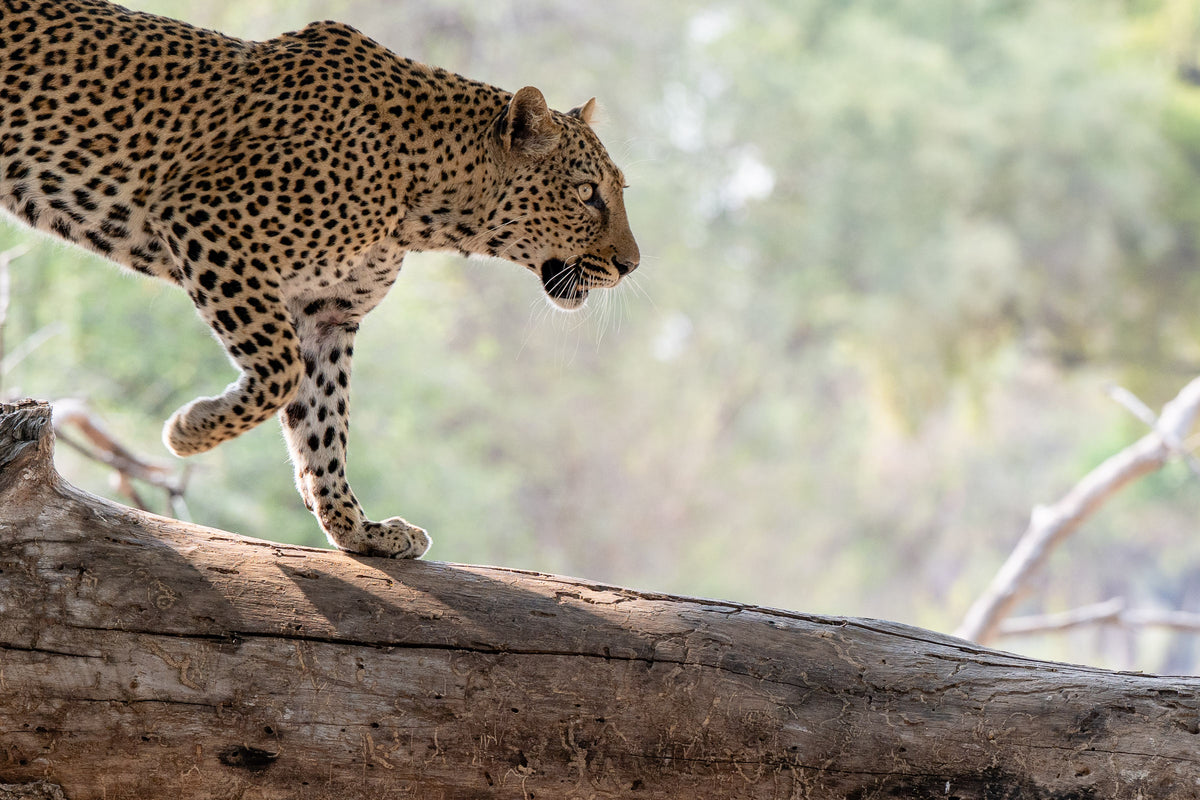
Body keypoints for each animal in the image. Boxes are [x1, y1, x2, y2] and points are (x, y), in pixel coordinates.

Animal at [0, 0, 640, 558]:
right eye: (587, 194)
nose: (632, 264)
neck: (424, 203)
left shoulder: (326, 310)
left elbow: (323, 422)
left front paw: (357, 530)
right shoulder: (212, 223)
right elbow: (281, 371)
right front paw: (189, 431)